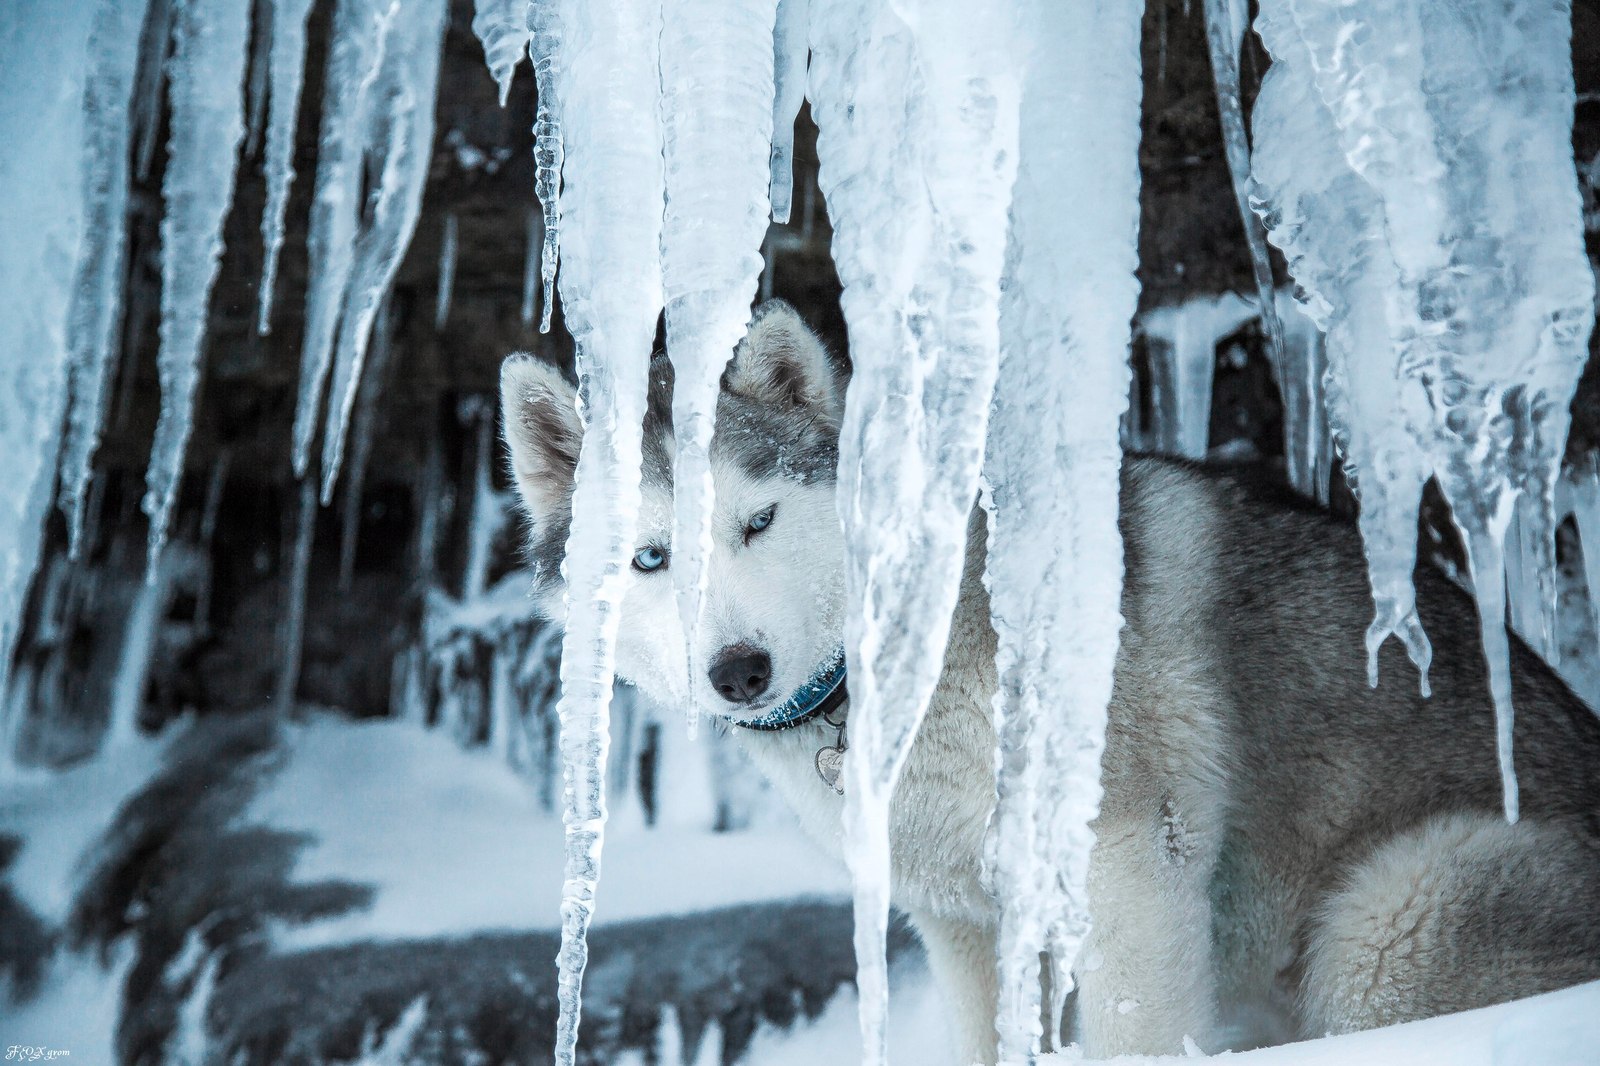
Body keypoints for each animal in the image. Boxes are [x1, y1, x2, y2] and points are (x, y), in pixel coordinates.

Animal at [505, 300, 1600, 1062]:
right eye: (649, 558)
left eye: (759, 520)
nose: (738, 670)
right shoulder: (962, 920)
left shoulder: (1126, 860)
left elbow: (1131, 1029)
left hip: (1386, 921)